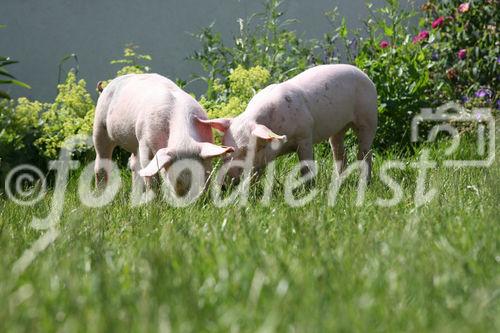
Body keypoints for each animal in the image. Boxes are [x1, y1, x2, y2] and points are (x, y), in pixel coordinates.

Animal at [93, 72, 233, 192]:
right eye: (171, 177)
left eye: (201, 173)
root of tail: (107, 86)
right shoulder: (145, 142)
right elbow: (150, 174)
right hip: (100, 124)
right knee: (101, 161)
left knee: (133, 163)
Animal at [197, 63, 376, 180]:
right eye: (225, 148)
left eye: (246, 150)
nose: (224, 184)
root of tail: (363, 73)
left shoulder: (305, 134)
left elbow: (306, 166)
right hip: (338, 128)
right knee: (339, 150)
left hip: (368, 117)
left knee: (365, 153)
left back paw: (364, 182)